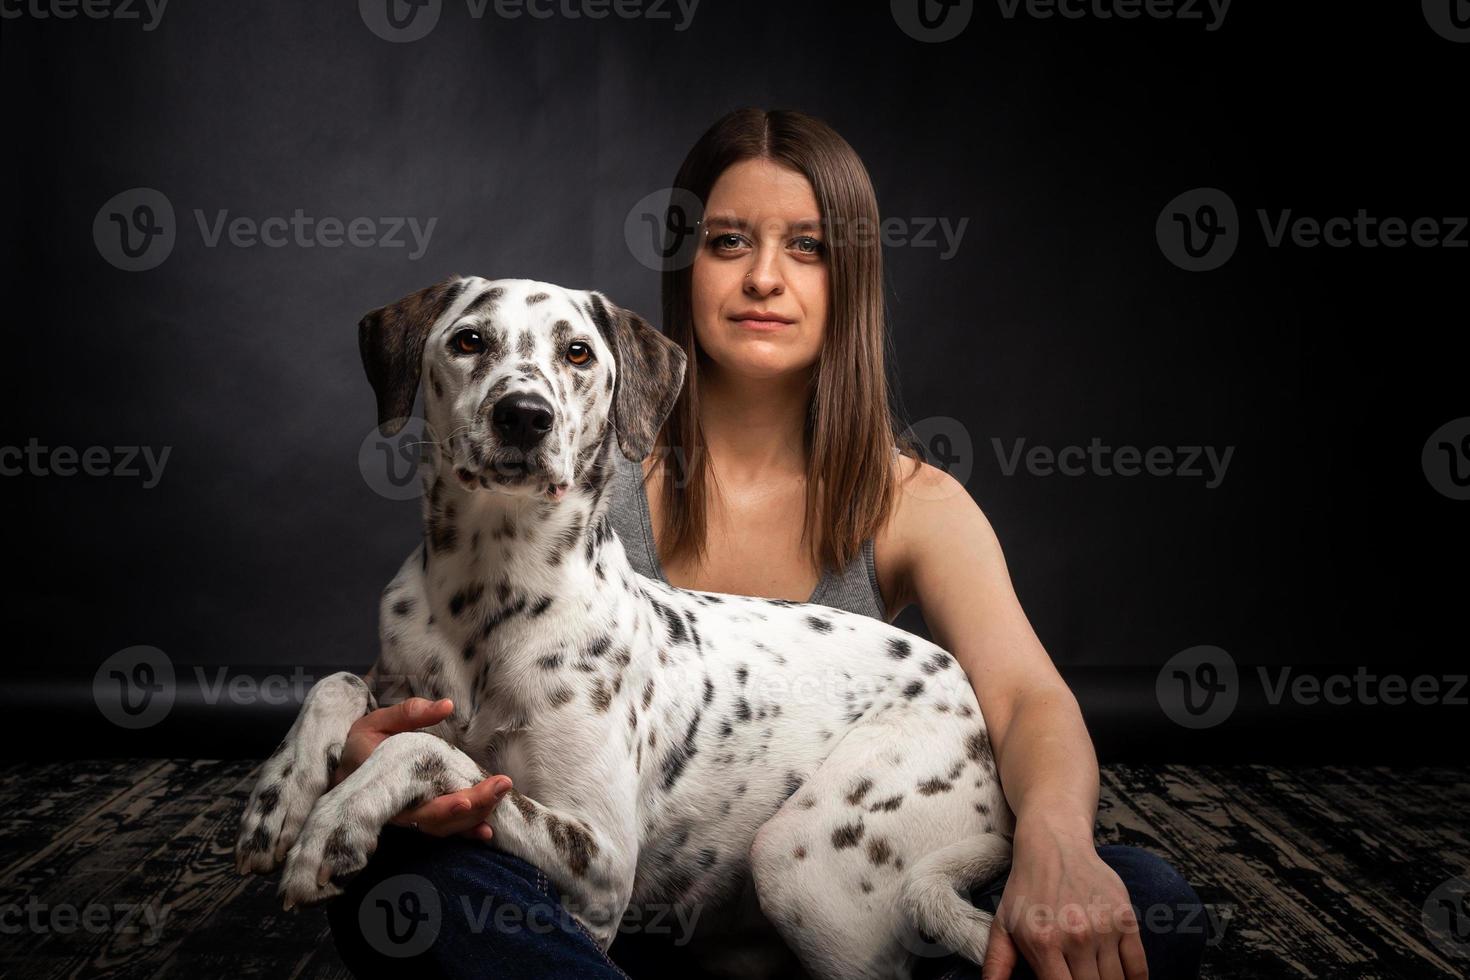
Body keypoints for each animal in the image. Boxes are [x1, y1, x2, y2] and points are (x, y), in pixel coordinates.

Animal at [238, 276, 1023, 980]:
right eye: (469, 341)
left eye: (578, 352)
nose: (523, 414)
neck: (488, 591)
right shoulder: (396, 680)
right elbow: (340, 684)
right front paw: (280, 795)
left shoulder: (602, 865)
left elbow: (428, 751)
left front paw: (337, 821)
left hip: (799, 859)